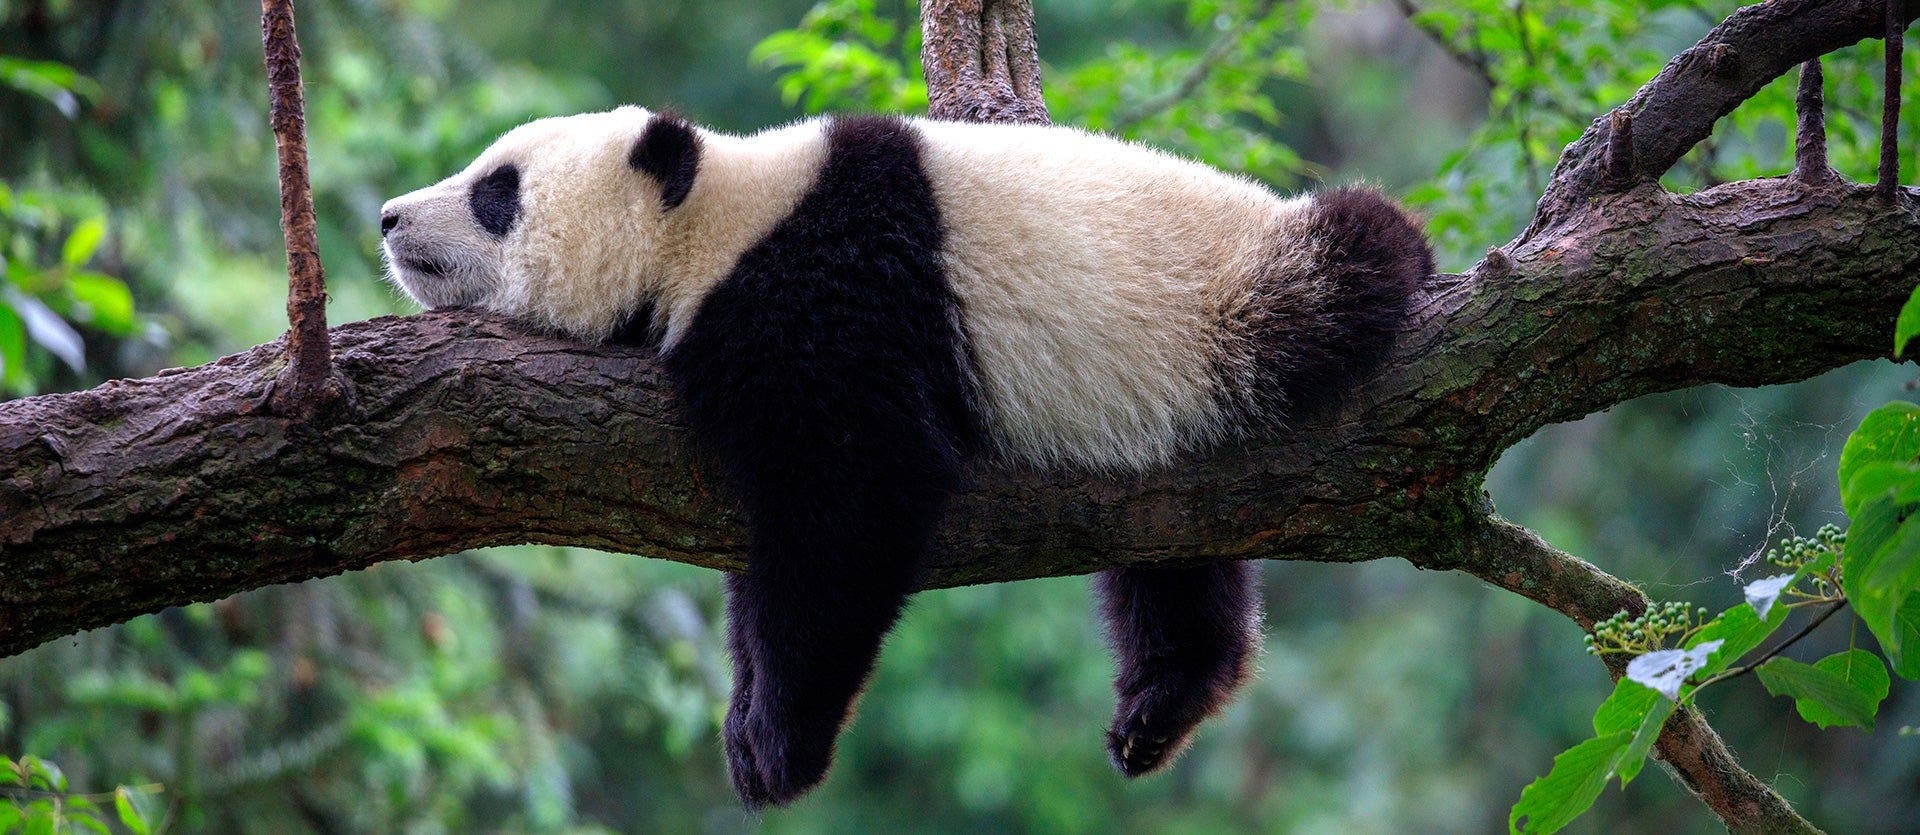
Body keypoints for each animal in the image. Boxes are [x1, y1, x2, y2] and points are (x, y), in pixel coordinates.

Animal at [379, 106, 1430, 808]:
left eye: (497, 191)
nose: (389, 217)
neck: (716, 220)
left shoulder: (832, 296)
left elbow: (854, 502)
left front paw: (777, 744)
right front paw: (746, 717)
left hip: (1229, 303)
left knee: (1347, 263)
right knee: (1172, 557)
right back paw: (1161, 703)